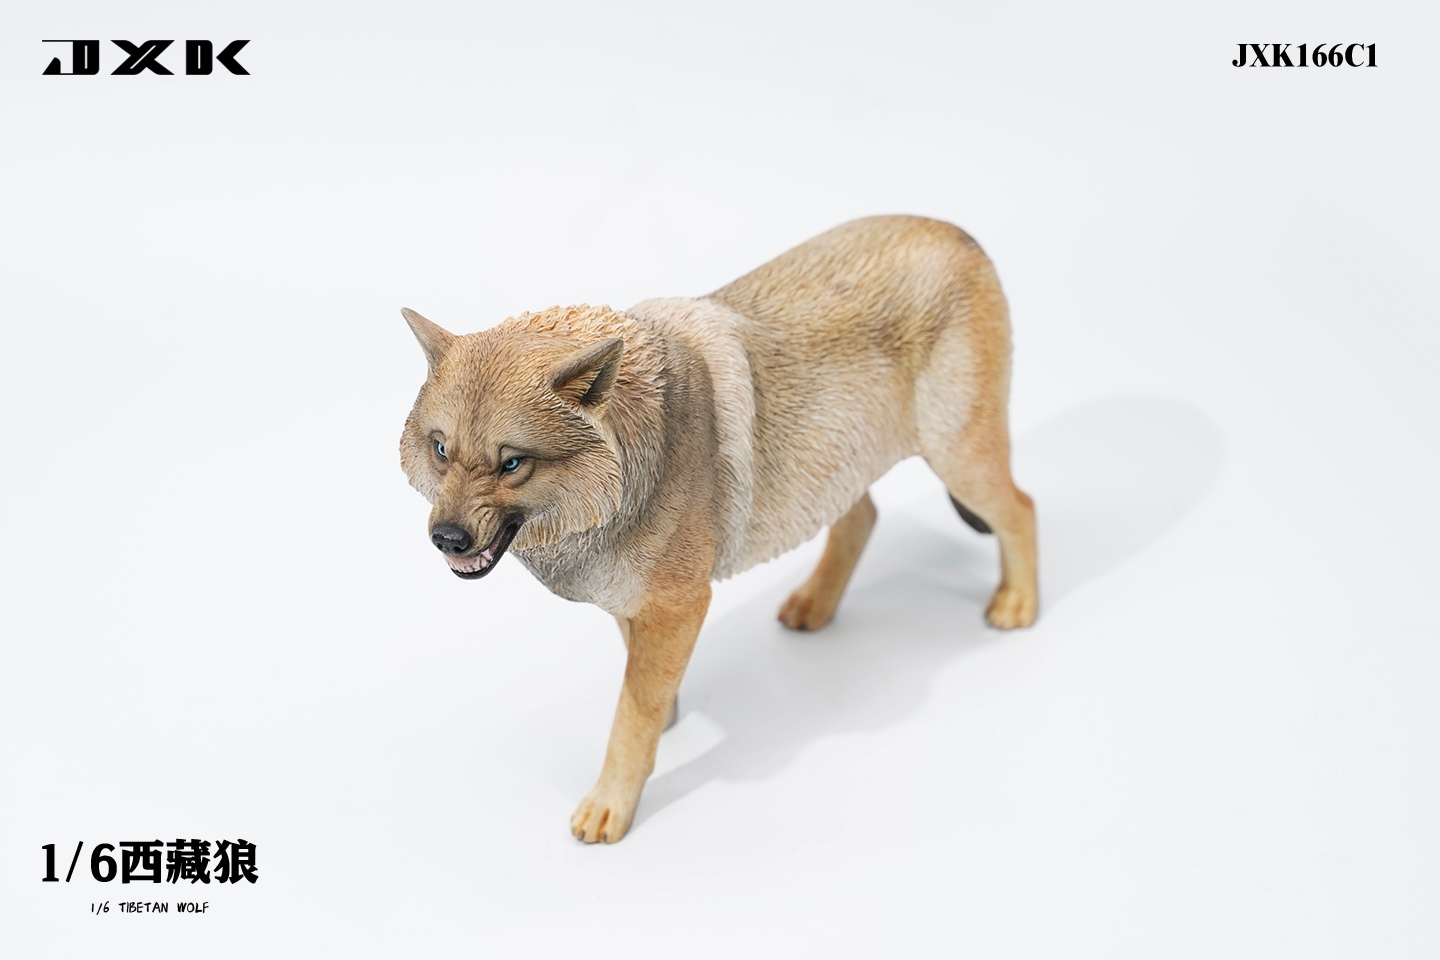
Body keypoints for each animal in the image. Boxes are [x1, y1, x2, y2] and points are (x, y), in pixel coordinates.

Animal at [399, 215, 1038, 843]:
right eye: (440, 451)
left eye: (512, 463)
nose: (447, 538)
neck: (637, 459)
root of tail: (958, 232)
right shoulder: (635, 601)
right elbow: (643, 683)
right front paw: (670, 716)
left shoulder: (681, 604)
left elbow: (632, 714)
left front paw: (612, 803)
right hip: (835, 468)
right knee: (864, 519)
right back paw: (815, 605)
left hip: (958, 460)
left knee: (1022, 508)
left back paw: (1018, 604)